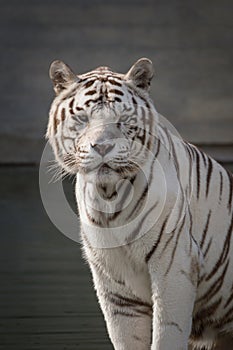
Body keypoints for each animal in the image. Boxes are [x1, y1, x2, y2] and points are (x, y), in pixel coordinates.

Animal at [46, 58, 233, 348]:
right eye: (83, 118)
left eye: (122, 120)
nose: (103, 147)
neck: (109, 197)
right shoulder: (115, 285)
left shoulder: (174, 266)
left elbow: (167, 333)